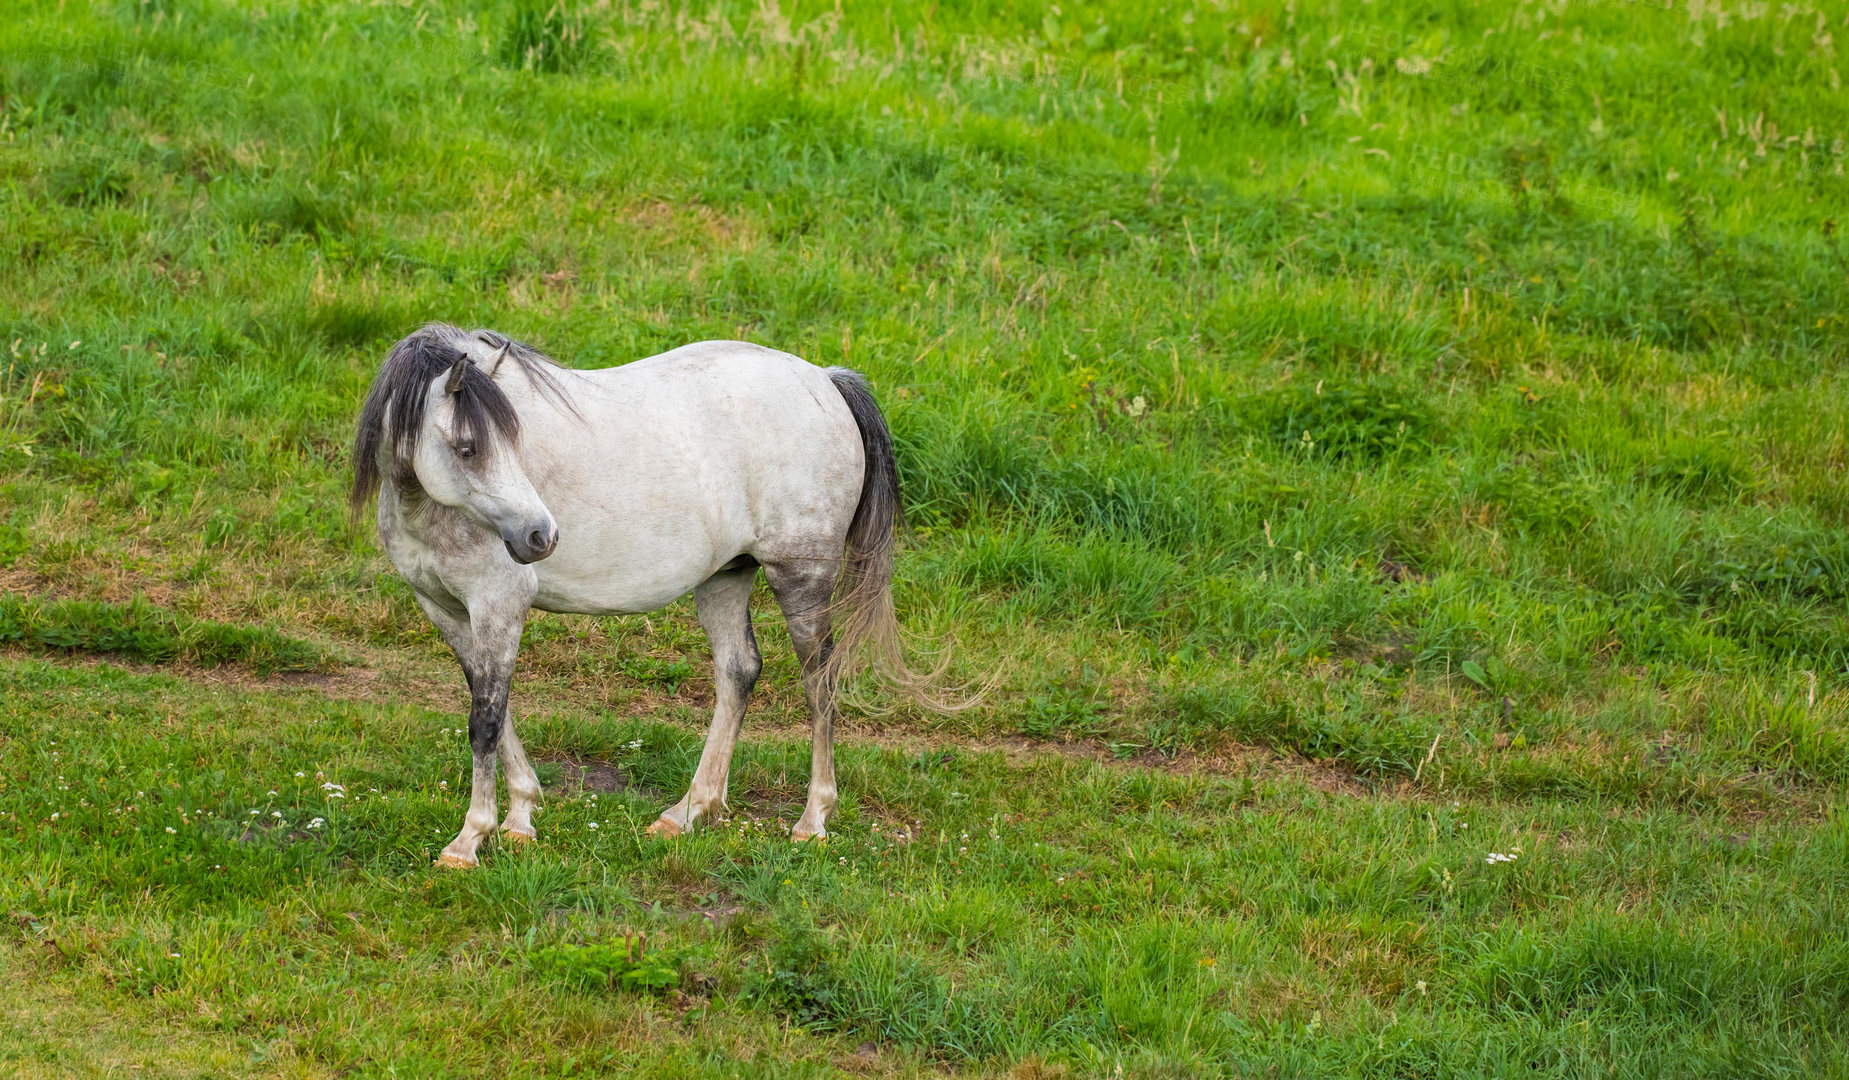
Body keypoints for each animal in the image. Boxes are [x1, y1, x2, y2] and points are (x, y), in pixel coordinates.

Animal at [349, 323, 924, 869]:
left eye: (512, 442)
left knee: (818, 680)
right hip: (726, 577)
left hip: (801, 577)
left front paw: (470, 839)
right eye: (469, 448)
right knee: (738, 671)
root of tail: (826, 379)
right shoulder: (445, 610)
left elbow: (485, 721)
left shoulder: (498, 604)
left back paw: (812, 819)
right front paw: (519, 817)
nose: (541, 536)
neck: (426, 507)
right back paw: (689, 812)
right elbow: (492, 706)